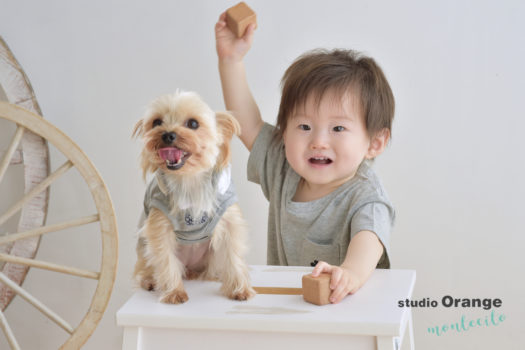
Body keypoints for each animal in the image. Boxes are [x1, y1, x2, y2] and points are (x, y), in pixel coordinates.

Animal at [131, 90, 254, 304]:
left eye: (193, 124)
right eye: (156, 122)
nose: (167, 134)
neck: (189, 180)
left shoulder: (229, 219)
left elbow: (233, 255)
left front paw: (239, 289)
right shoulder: (159, 224)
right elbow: (165, 258)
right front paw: (174, 293)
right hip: (145, 249)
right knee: (149, 263)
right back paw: (150, 281)